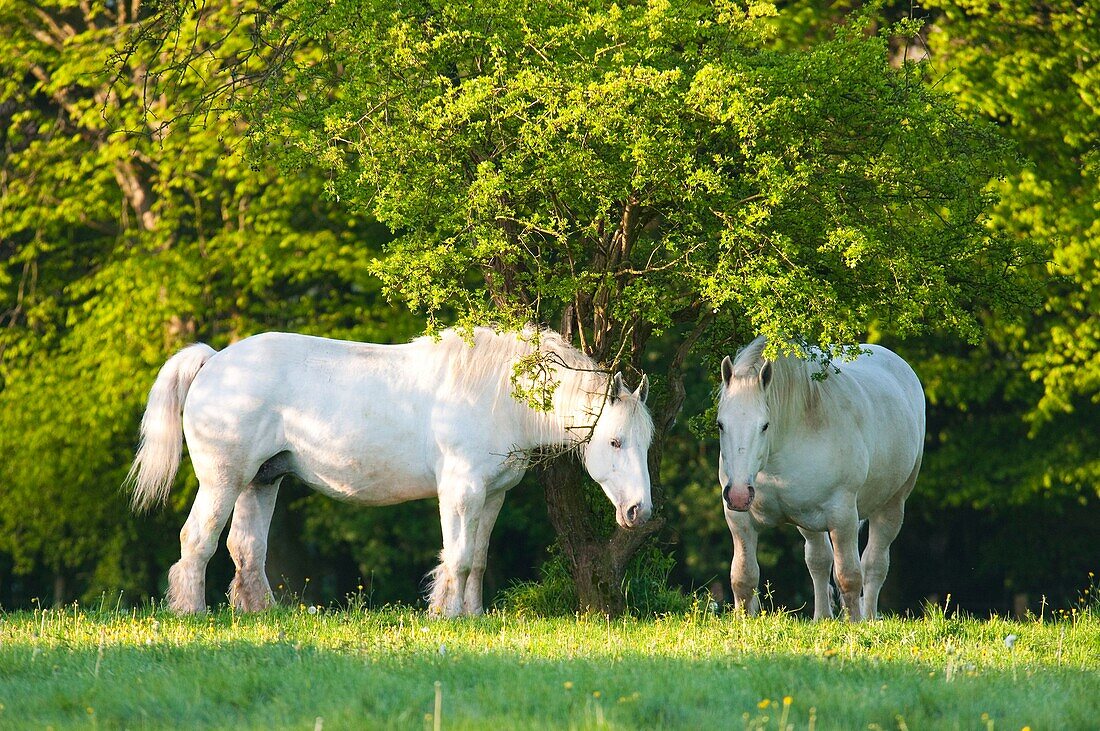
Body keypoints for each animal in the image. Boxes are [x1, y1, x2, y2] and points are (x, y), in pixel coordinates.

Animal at [126, 325, 651, 615]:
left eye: (646, 442)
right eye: (615, 441)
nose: (639, 512)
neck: (498, 394)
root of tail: (215, 360)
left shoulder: (492, 496)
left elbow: (478, 559)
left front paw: (474, 616)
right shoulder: (460, 492)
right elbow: (458, 557)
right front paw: (447, 615)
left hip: (262, 481)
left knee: (246, 549)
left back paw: (263, 614)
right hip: (225, 480)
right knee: (198, 540)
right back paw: (192, 612)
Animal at [717, 336, 924, 619]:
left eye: (765, 426)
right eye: (720, 424)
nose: (738, 494)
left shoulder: (843, 517)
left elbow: (849, 576)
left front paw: (855, 625)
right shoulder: (740, 521)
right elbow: (743, 577)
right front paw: (742, 622)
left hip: (891, 505)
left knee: (874, 565)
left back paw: (869, 618)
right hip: (808, 522)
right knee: (819, 561)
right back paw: (822, 618)